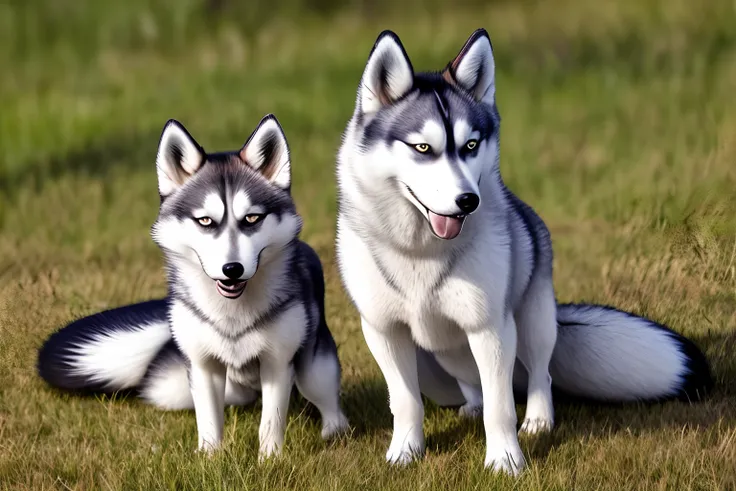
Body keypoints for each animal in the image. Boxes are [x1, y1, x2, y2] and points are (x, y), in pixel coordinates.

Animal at [38, 114, 350, 458]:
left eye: (252, 218)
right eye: (205, 221)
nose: (232, 269)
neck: (232, 311)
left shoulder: (278, 363)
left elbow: (270, 421)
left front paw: (270, 460)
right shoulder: (202, 366)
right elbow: (209, 419)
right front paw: (210, 458)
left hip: (313, 367)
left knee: (326, 398)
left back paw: (334, 431)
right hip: (176, 387)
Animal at [334, 28, 712, 474]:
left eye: (471, 145)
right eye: (423, 148)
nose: (468, 201)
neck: (420, 252)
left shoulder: (491, 329)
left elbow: (502, 408)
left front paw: (505, 460)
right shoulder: (383, 330)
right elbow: (405, 401)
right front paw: (405, 452)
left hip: (535, 321)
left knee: (538, 375)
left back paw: (538, 419)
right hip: (435, 364)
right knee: (471, 386)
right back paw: (470, 407)